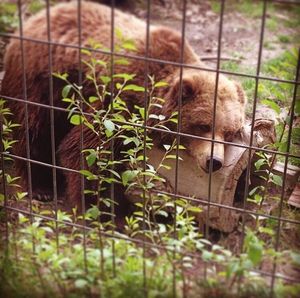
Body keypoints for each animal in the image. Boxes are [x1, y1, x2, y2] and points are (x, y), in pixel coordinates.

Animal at [1, 2, 246, 212]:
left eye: (229, 132)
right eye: (203, 125)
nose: (214, 162)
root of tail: (36, 17)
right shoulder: (119, 98)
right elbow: (86, 150)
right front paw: (100, 207)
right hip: (40, 78)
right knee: (33, 127)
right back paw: (39, 186)